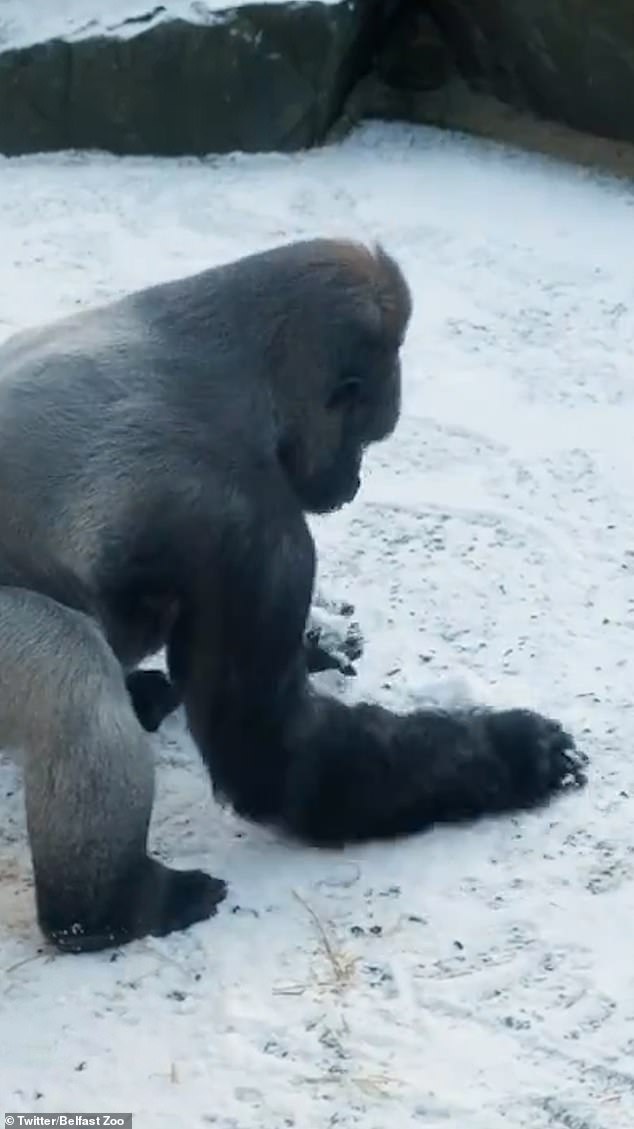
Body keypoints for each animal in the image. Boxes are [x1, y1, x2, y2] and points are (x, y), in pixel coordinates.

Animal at [0, 238, 582, 952]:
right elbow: (276, 754)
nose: (353, 482)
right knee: (70, 664)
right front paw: (517, 752)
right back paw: (109, 909)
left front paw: (322, 639)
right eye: (364, 436)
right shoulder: (253, 522)